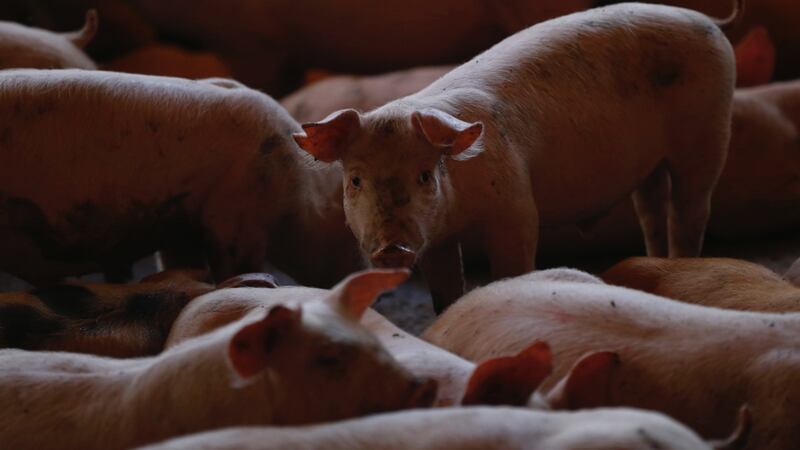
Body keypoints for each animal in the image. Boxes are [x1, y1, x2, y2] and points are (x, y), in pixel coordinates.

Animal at [293, 2, 741, 311]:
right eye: (355, 180)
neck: (461, 210)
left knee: (690, 210)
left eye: (424, 175)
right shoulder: (437, 236)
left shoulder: (515, 205)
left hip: (708, 132)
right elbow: (444, 290)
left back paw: (683, 262)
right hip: (650, 166)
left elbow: (513, 261)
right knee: (651, 210)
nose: (391, 248)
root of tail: (707, 20)